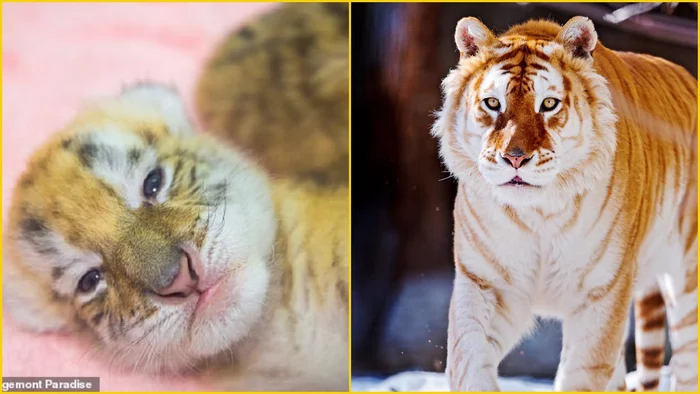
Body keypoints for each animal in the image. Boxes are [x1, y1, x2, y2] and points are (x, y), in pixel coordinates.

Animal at [430, 16, 696, 390]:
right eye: (493, 103)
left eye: (548, 104)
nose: (515, 157)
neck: (539, 214)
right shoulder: (486, 284)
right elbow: (468, 361)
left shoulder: (601, 295)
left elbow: (582, 373)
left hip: (687, 283)